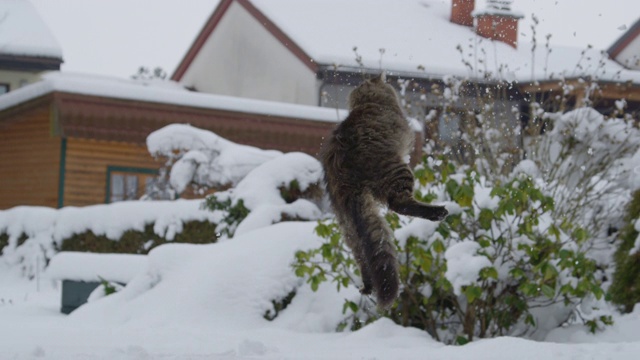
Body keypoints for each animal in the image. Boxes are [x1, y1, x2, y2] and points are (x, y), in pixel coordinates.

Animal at [320, 74, 450, 310]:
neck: (369, 101)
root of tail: (341, 171)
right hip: (396, 170)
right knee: (399, 204)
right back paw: (436, 212)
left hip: (347, 224)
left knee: (361, 255)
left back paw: (367, 285)